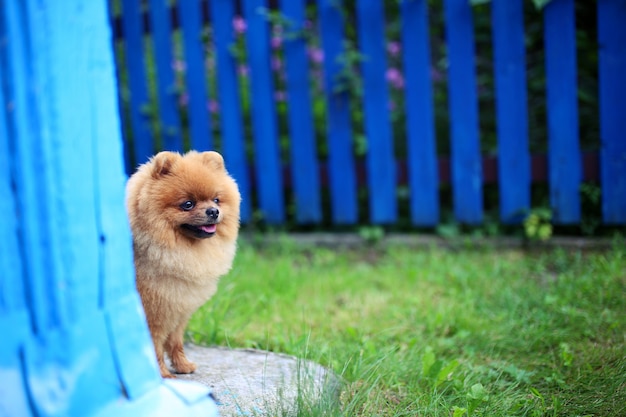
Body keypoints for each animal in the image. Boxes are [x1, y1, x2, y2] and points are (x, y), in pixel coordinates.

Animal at [125, 150, 240, 376]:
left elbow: (175, 341)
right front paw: (162, 374)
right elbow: (155, 345)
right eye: (188, 204)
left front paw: (183, 366)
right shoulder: (153, 314)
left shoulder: (177, 309)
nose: (213, 211)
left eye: (216, 200)